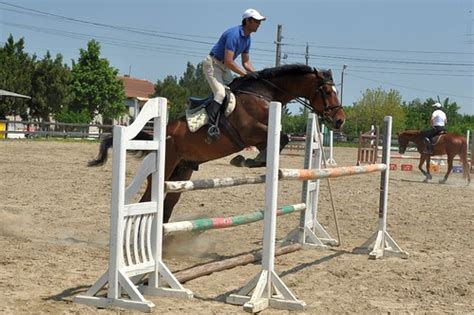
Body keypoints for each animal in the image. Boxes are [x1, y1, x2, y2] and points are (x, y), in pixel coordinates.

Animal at [89, 64, 346, 222]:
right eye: (327, 92)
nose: (340, 120)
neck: (264, 95)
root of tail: (162, 134)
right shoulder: (249, 132)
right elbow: (283, 138)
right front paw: (244, 161)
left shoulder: (260, 136)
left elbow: (279, 141)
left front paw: (250, 160)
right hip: (166, 167)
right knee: (148, 200)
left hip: (183, 170)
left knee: (168, 204)